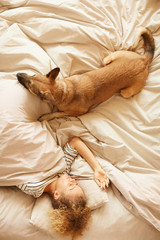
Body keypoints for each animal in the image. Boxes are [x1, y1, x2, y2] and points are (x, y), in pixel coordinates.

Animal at [17, 27, 154, 121]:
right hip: (107, 59)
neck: (64, 91)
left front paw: (47, 116)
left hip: (125, 92)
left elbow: (58, 113)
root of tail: (143, 60)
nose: (17, 74)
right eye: (33, 75)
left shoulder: (79, 113)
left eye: (29, 84)